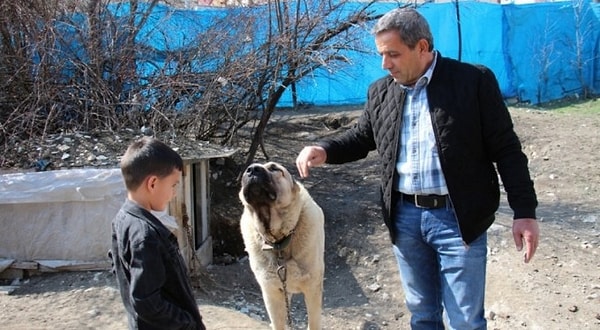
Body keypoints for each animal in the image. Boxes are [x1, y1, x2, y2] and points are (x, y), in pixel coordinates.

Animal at [238, 161, 324, 328]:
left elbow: (313, 322)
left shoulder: (312, 290)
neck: (278, 241)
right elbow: (278, 323)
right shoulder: (272, 292)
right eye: (247, 170)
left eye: (274, 168)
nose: (252, 169)